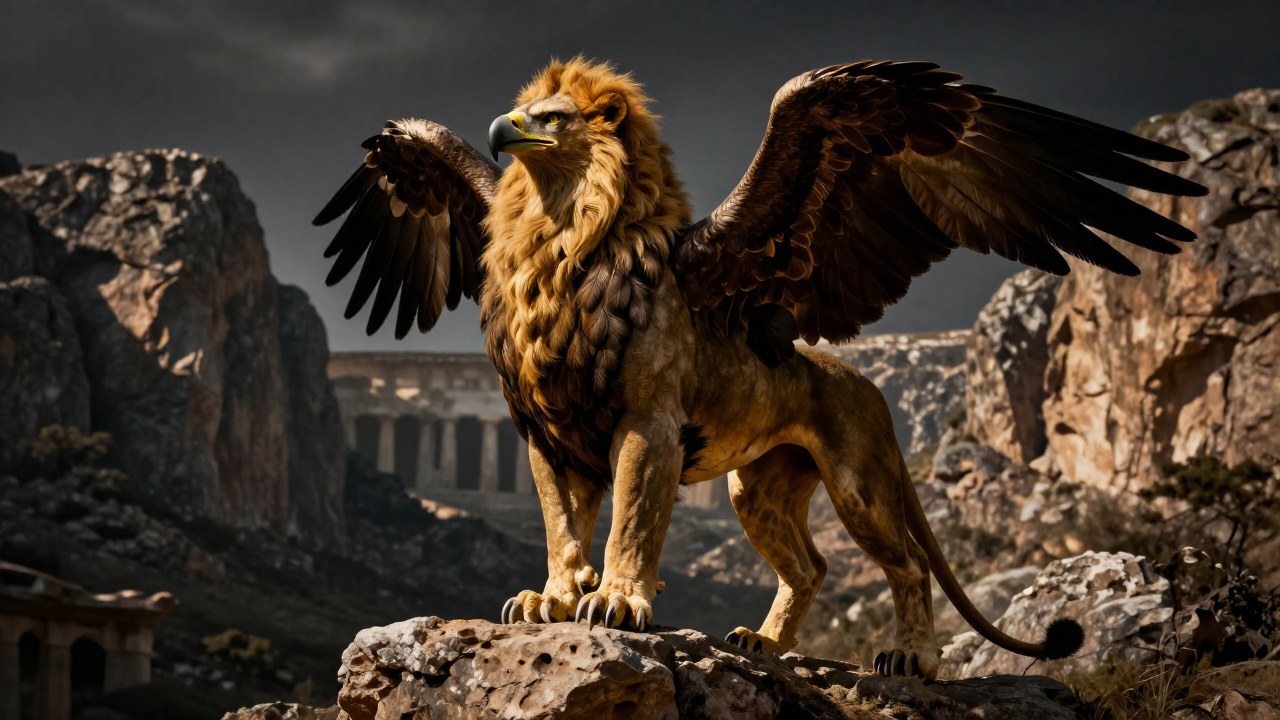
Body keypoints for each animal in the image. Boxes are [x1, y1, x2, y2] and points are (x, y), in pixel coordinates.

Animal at [314, 57, 1205, 678]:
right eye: (522, 116)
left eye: (554, 118)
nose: (503, 133)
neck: (565, 241)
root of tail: (861, 379)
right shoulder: (547, 432)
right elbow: (562, 524)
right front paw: (555, 597)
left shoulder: (649, 423)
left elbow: (633, 519)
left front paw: (618, 597)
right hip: (761, 485)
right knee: (811, 566)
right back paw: (766, 643)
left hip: (859, 479)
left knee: (907, 563)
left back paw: (913, 656)